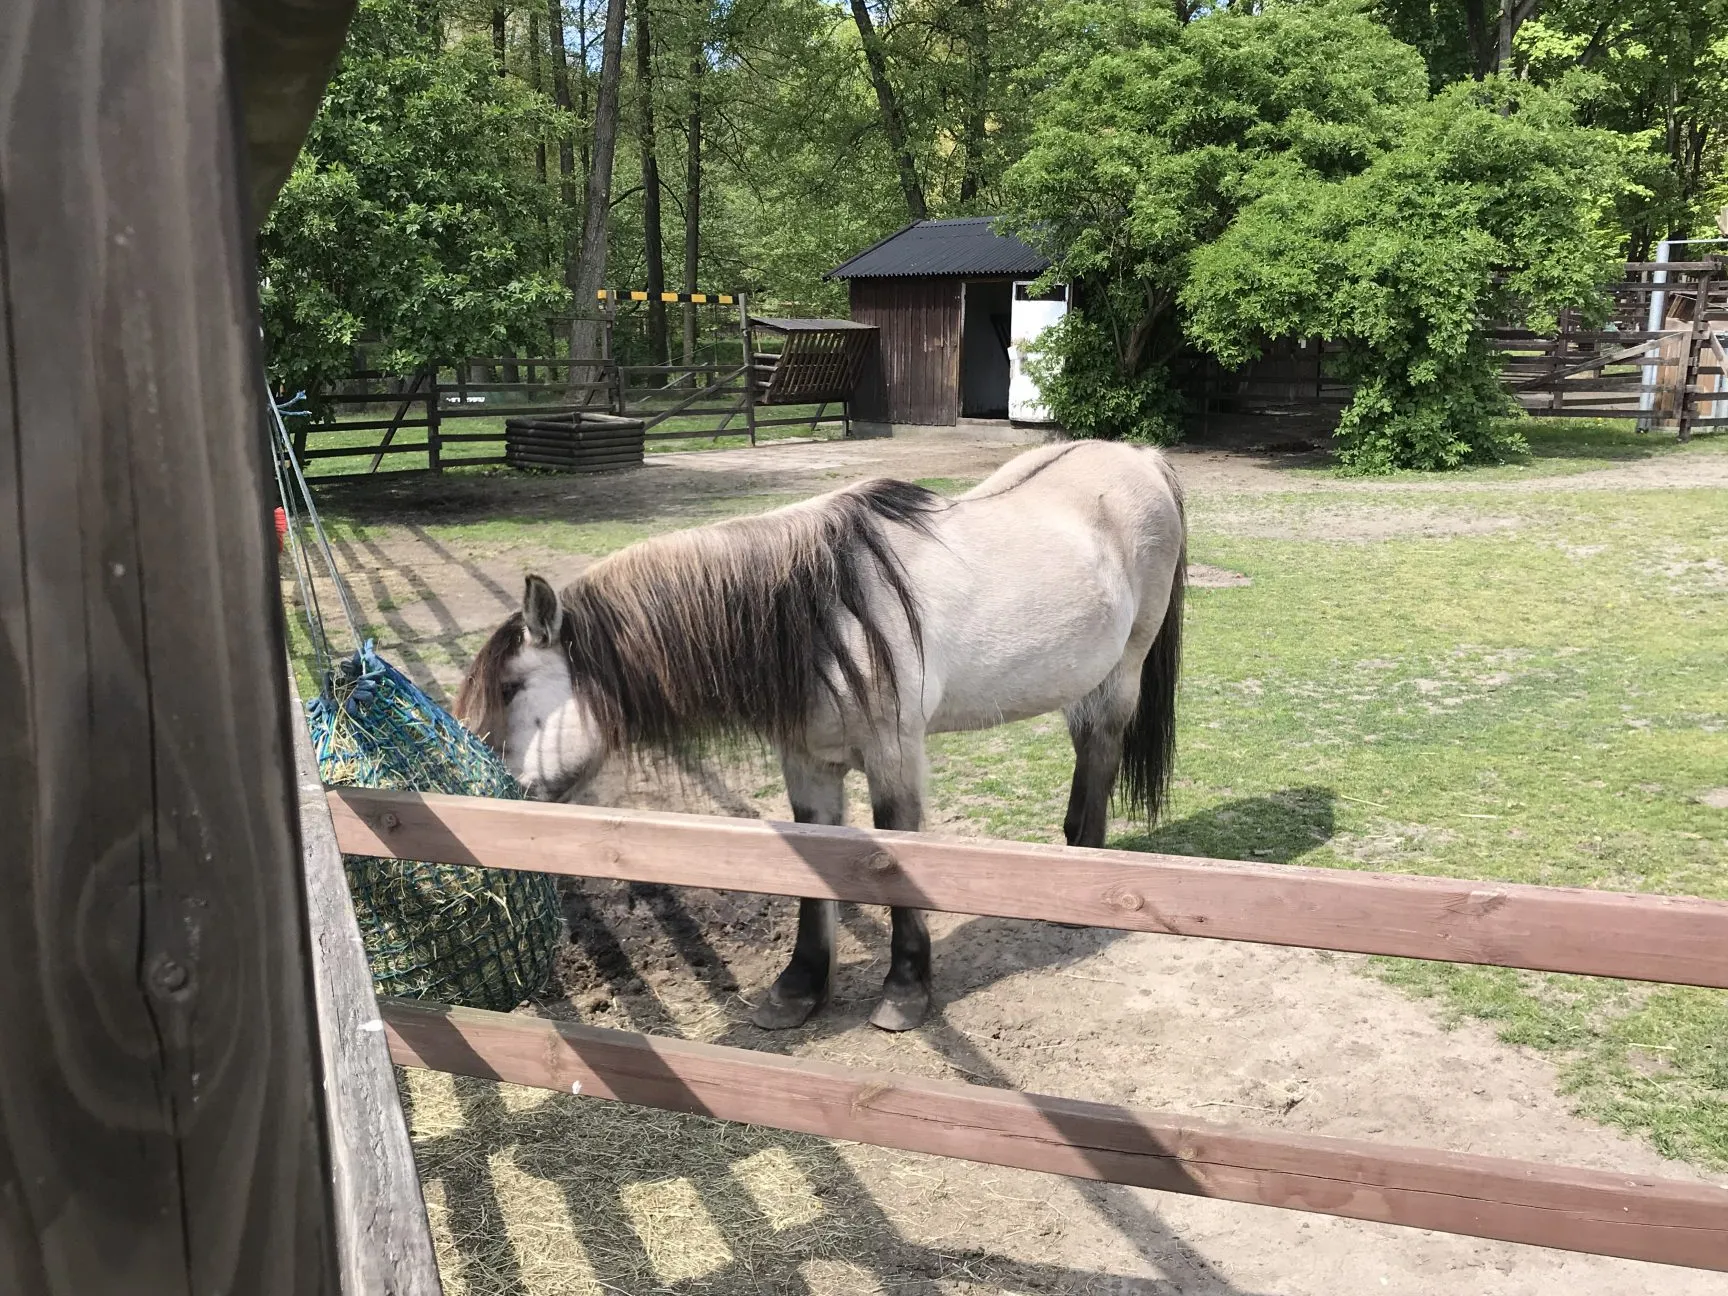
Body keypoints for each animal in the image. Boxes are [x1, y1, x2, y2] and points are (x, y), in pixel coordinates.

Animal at [456, 445, 1188, 1036]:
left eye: (512, 688)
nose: (475, 800)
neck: (822, 615)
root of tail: (1141, 457)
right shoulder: (806, 763)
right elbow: (813, 865)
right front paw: (798, 989)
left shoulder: (895, 755)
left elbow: (894, 857)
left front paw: (905, 990)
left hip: (1122, 671)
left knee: (1102, 750)